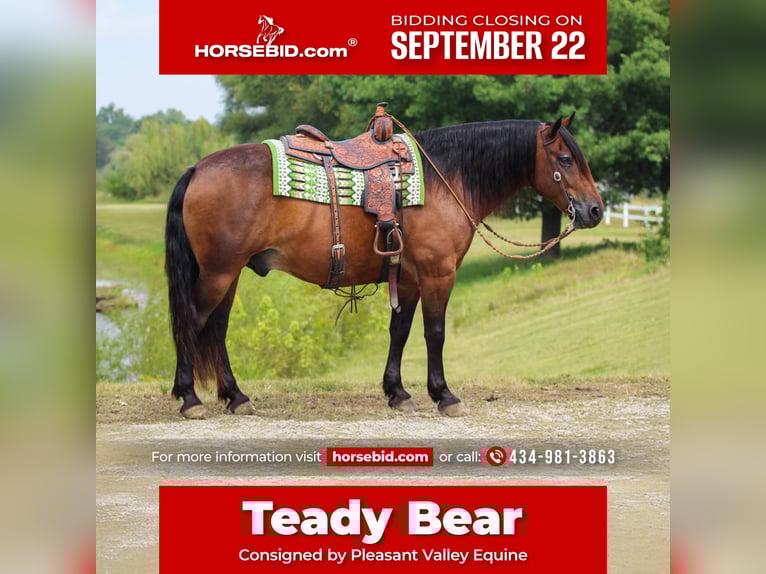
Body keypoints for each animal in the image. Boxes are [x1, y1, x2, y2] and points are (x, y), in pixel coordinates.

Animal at [164, 112, 604, 419]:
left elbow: (400, 330)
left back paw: (236, 397)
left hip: (229, 274)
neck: (447, 179)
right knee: (193, 321)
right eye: (565, 158)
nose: (595, 210)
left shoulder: (407, 278)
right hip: (219, 273)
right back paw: (189, 398)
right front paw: (444, 395)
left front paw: (397, 392)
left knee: (217, 328)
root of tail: (198, 168)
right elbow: (435, 333)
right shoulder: (438, 273)